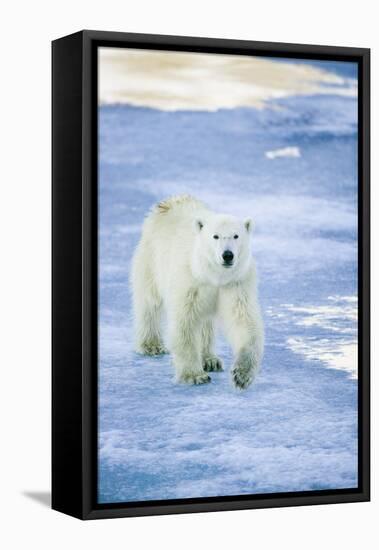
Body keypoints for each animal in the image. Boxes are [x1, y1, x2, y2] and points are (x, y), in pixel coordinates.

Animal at [131, 196, 264, 390]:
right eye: (215, 236)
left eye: (236, 235)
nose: (227, 255)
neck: (214, 275)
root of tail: (170, 201)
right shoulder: (190, 281)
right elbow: (185, 322)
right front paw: (195, 376)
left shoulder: (235, 283)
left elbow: (243, 321)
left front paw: (241, 375)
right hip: (151, 258)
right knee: (150, 302)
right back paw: (151, 345)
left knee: (206, 324)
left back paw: (210, 360)